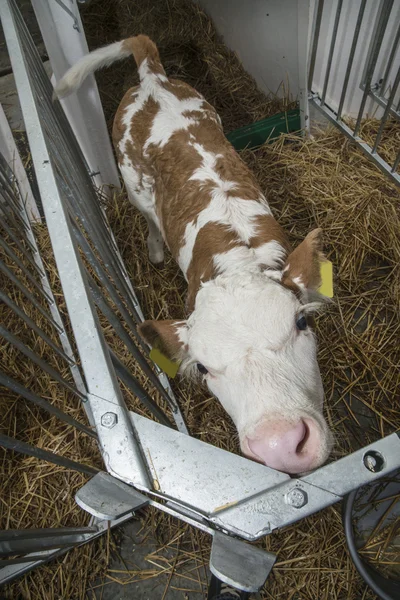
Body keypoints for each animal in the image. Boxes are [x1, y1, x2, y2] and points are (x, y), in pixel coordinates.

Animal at [54, 34, 332, 474]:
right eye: (202, 367)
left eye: (301, 323)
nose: (281, 445)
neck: (238, 258)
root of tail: (152, 78)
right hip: (132, 182)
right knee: (149, 217)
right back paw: (154, 250)